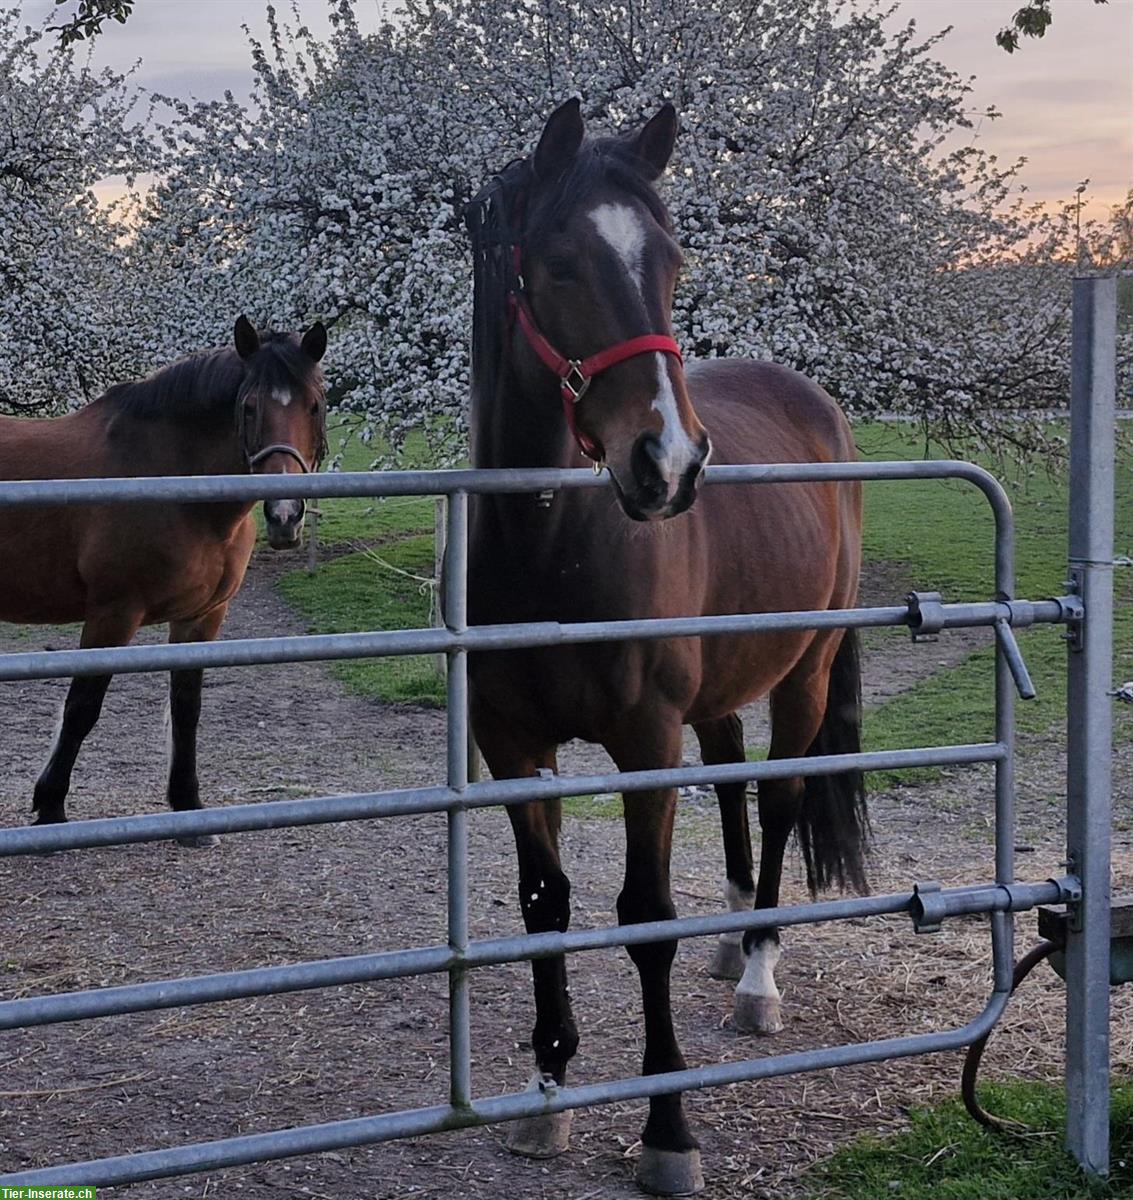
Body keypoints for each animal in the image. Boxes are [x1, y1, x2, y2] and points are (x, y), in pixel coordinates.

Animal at [1, 316, 326, 844]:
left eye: (314, 405)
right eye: (249, 406)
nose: (284, 515)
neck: (172, 477)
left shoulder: (202, 618)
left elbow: (186, 708)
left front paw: (189, 809)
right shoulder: (113, 614)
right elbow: (82, 706)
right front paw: (50, 806)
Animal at [465, 100, 864, 1190]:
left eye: (674, 262)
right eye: (559, 262)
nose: (670, 464)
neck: (550, 546)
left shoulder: (645, 742)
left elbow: (644, 918)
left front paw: (667, 1132)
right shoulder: (510, 744)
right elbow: (543, 905)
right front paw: (545, 1098)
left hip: (805, 673)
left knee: (778, 800)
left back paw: (756, 976)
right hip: (720, 692)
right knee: (729, 783)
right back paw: (730, 945)